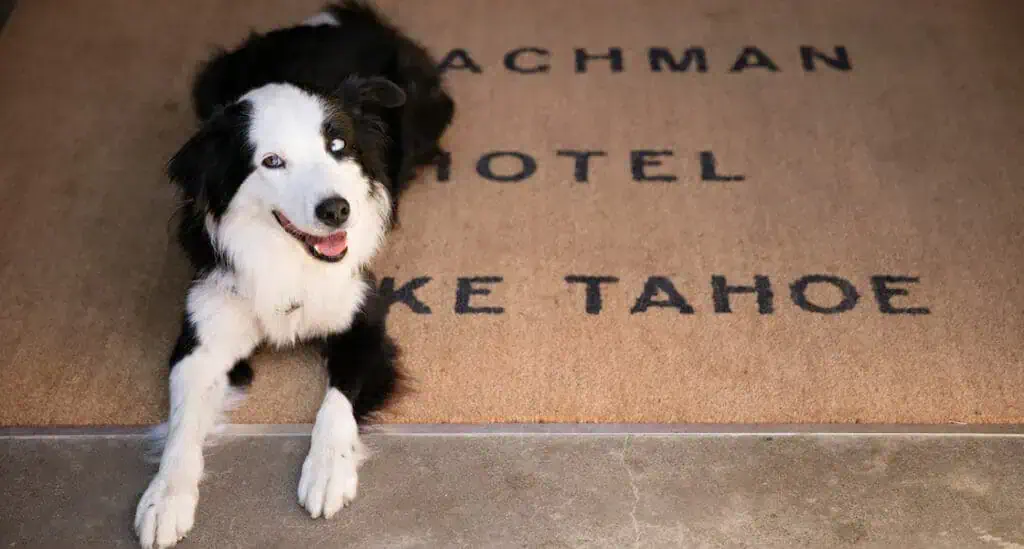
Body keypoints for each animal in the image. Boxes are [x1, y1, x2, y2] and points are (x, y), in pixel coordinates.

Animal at [134, 2, 454, 544]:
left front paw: (328, 473)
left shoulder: (363, 322)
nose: (337, 210)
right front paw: (165, 498)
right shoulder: (203, 339)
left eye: (338, 146)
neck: (287, 257)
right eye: (272, 161)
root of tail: (340, 15)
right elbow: (181, 424)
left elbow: (336, 402)